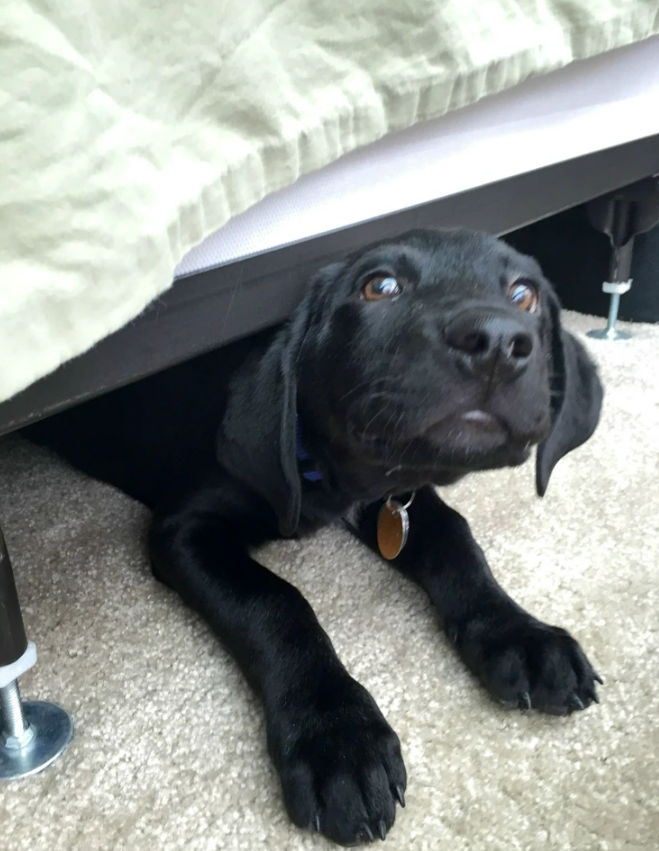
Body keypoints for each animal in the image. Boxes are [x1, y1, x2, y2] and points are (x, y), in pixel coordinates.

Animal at [27, 230, 604, 848]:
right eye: (379, 286)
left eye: (524, 295)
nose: (496, 341)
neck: (337, 474)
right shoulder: (185, 529)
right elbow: (276, 602)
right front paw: (337, 737)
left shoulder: (394, 500)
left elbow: (455, 538)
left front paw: (521, 634)